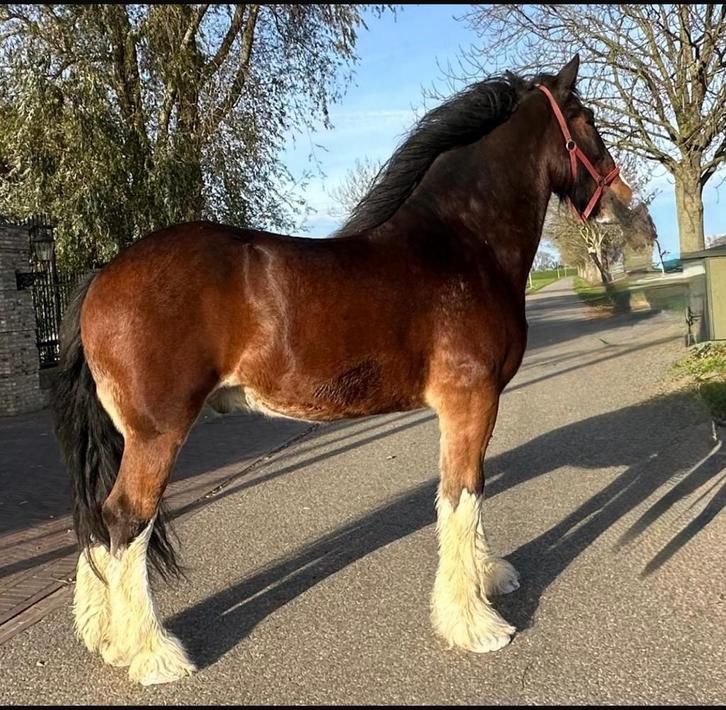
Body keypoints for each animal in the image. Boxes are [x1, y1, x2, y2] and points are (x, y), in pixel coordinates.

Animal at [52, 55, 633, 685]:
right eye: (586, 119)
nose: (620, 199)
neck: (461, 244)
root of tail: (102, 275)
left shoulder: (469, 408)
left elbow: (468, 493)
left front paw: (487, 580)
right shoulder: (471, 400)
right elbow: (463, 494)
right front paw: (474, 624)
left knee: (98, 521)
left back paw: (107, 639)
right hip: (157, 435)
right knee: (124, 521)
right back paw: (154, 654)